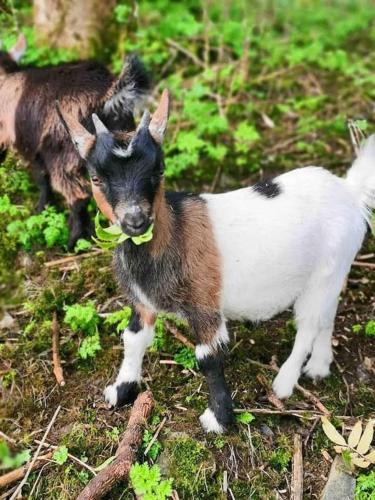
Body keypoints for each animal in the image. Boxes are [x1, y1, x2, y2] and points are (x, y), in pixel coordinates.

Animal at [0, 34, 150, 249]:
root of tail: (107, 97)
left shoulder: (31, 145)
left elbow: (41, 178)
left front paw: (41, 208)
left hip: (64, 154)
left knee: (77, 195)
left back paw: (74, 240)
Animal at [59, 91, 375, 434]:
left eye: (158, 171)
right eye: (96, 178)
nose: (135, 220)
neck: (174, 234)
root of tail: (350, 193)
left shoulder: (204, 305)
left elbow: (208, 357)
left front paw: (219, 420)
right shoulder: (142, 302)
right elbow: (133, 338)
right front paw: (121, 391)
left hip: (323, 274)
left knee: (307, 325)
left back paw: (284, 383)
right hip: (333, 271)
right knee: (326, 314)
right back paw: (319, 366)